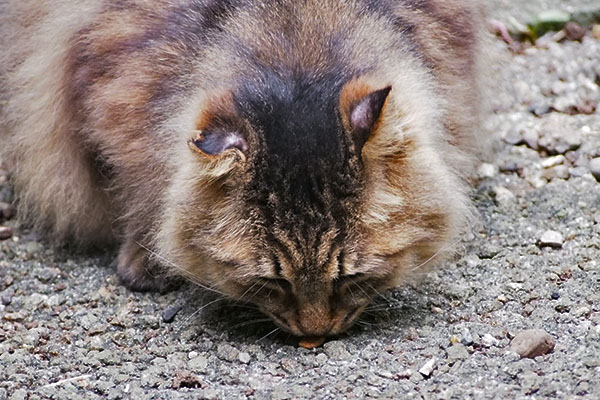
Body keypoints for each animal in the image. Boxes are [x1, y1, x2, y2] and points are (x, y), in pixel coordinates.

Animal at [0, 0, 490, 338]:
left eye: (350, 276)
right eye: (272, 282)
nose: (316, 334)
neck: (297, 49)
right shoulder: (114, 88)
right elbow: (138, 180)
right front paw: (146, 253)